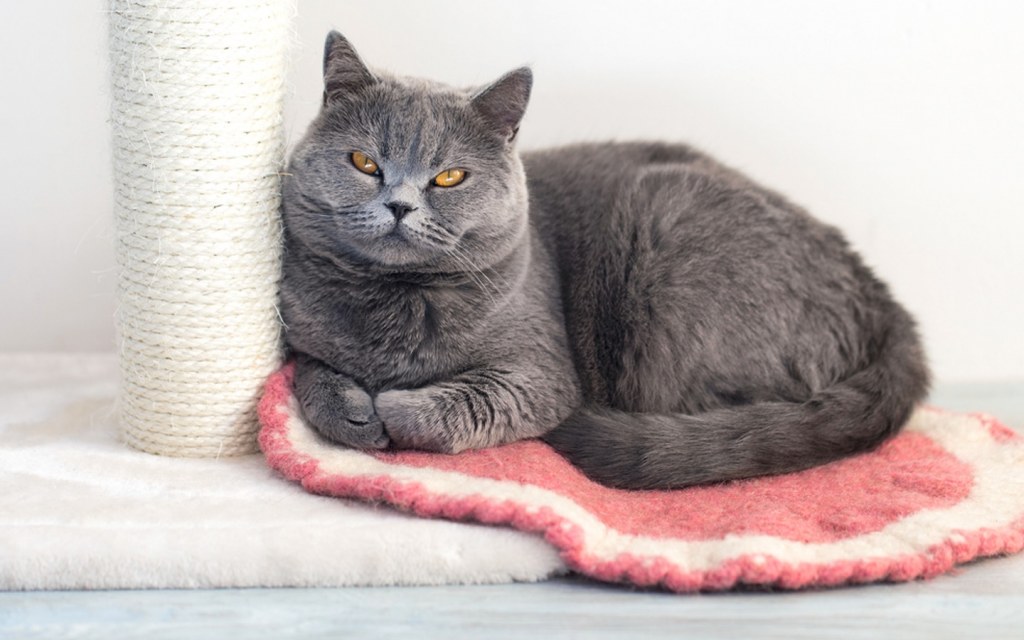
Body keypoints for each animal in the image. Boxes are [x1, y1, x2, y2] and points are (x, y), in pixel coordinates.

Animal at [278, 31, 929, 489]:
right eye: (364, 162)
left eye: (449, 177)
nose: (399, 204)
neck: (395, 301)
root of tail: (882, 300)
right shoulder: (302, 336)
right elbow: (311, 372)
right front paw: (352, 410)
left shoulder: (540, 372)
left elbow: (461, 404)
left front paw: (393, 406)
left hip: (664, 228)